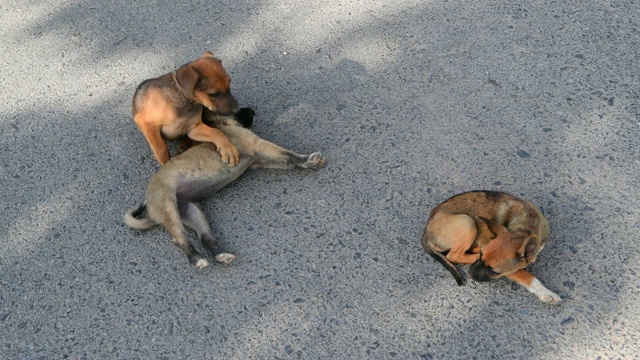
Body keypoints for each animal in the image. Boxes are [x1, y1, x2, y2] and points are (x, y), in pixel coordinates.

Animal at [124, 112, 324, 268]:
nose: (252, 111)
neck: (222, 125)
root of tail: (150, 207)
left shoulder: (259, 160)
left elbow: (286, 160)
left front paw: (305, 164)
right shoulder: (259, 145)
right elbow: (287, 154)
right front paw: (307, 160)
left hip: (192, 212)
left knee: (205, 237)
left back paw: (221, 255)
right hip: (169, 209)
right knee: (180, 238)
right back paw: (197, 260)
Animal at [424, 190, 560, 306]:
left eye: (493, 271)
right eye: (481, 256)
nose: (469, 274)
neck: (526, 228)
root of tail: (426, 232)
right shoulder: (512, 270)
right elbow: (527, 276)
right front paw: (546, 293)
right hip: (467, 222)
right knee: (452, 255)